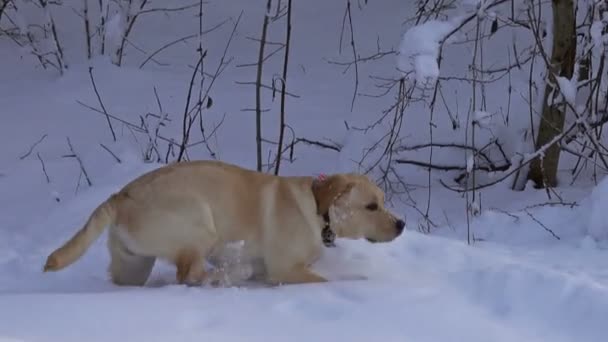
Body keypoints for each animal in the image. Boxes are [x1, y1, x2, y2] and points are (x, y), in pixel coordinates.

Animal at [42, 160, 404, 286]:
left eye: (384, 201)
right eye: (371, 206)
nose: (401, 224)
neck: (318, 209)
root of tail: (120, 196)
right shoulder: (285, 269)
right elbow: (326, 280)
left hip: (133, 264)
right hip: (200, 221)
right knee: (189, 274)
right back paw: (228, 274)